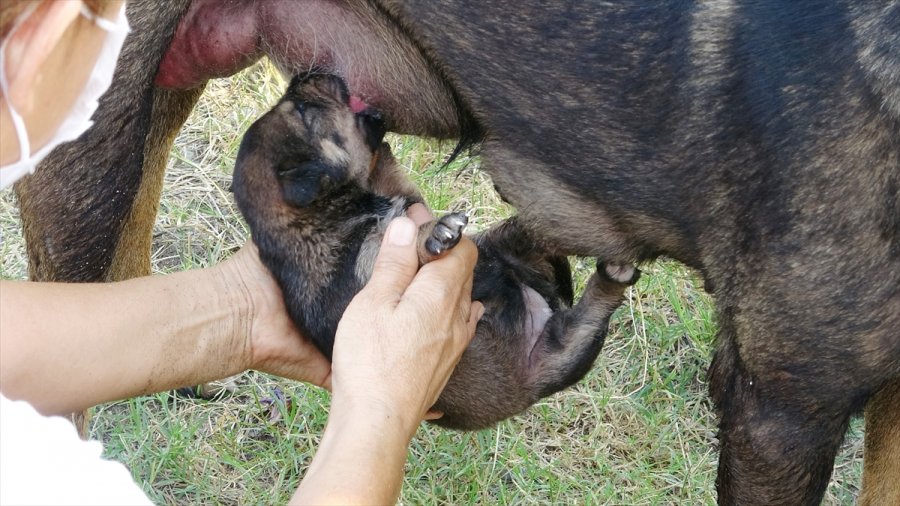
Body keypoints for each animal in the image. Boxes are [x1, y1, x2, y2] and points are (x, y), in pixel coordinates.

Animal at [232, 75, 640, 428]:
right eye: (303, 109)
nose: (305, 74)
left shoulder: (403, 195)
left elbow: (392, 177)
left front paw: (383, 150)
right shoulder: (365, 268)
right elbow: (396, 238)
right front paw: (435, 234)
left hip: (514, 263)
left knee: (522, 246)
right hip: (564, 354)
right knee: (589, 315)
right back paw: (606, 273)